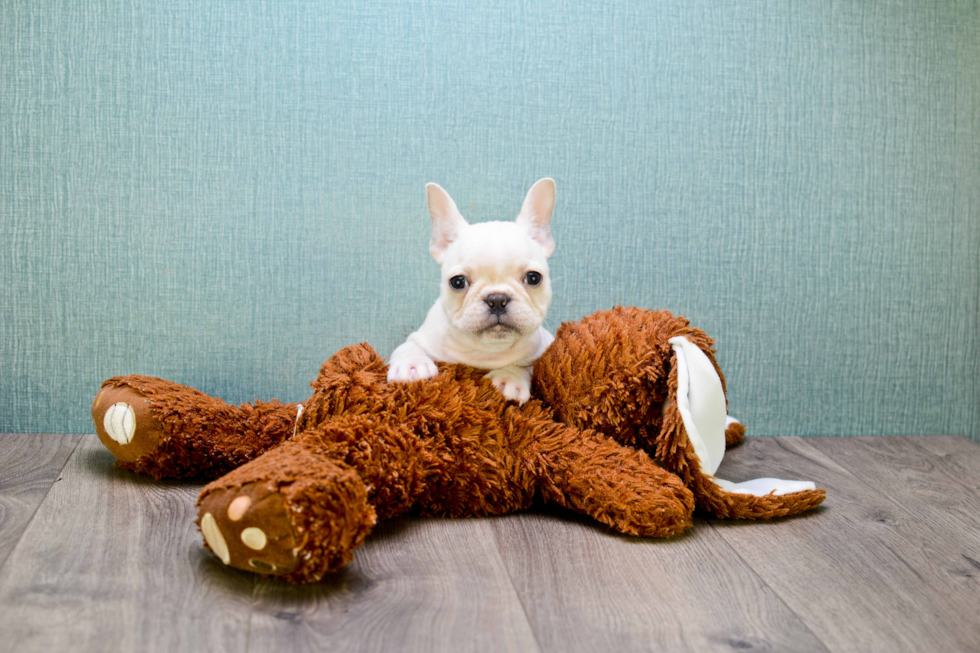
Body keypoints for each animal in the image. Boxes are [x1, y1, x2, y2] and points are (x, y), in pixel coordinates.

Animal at [390, 178, 560, 402]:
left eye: (533, 278)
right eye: (457, 282)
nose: (497, 299)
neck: (485, 351)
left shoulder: (543, 349)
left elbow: (525, 365)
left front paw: (509, 377)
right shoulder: (422, 337)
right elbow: (407, 346)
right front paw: (410, 364)